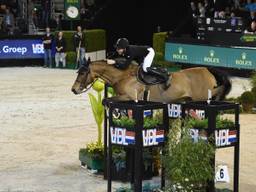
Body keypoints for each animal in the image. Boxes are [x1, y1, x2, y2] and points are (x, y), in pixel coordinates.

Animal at [71, 60, 231, 103]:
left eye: (83, 73)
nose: (74, 90)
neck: (122, 76)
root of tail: (208, 69)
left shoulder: (129, 97)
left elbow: (107, 100)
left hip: (202, 96)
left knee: (219, 90)